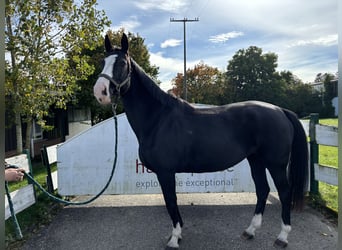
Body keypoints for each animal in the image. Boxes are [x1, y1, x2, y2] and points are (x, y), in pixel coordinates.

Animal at [93, 33, 308, 250]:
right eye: (103, 62)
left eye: (121, 63)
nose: (100, 91)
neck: (158, 119)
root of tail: (280, 110)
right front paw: (177, 234)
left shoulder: (165, 172)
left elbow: (171, 202)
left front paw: (174, 238)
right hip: (256, 160)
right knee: (262, 190)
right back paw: (250, 231)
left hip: (276, 164)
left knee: (284, 192)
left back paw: (282, 237)